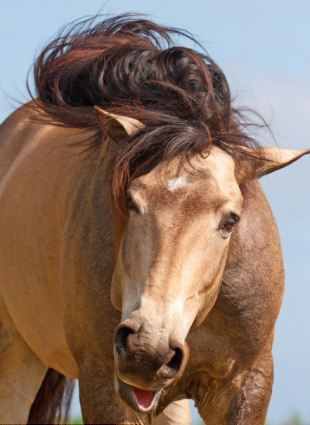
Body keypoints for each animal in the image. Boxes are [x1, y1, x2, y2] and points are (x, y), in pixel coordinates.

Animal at [0, 13, 308, 424]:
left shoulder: (247, 381)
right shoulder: (103, 380)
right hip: (15, 356)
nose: (147, 349)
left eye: (230, 220)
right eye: (132, 202)